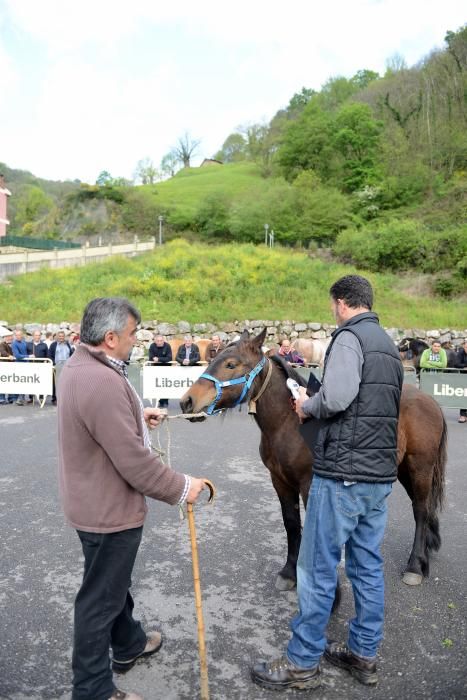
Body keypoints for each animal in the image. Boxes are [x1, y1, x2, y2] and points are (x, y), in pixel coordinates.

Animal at [181, 328, 448, 592]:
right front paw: (289, 572)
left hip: (420, 468)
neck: (289, 425)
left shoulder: (309, 484)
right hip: (403, 470)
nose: (187, 402)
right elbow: (291, 523)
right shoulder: (280, 481)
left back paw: (414, 567)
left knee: (421, 510)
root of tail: (430, 401)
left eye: (231, 364)